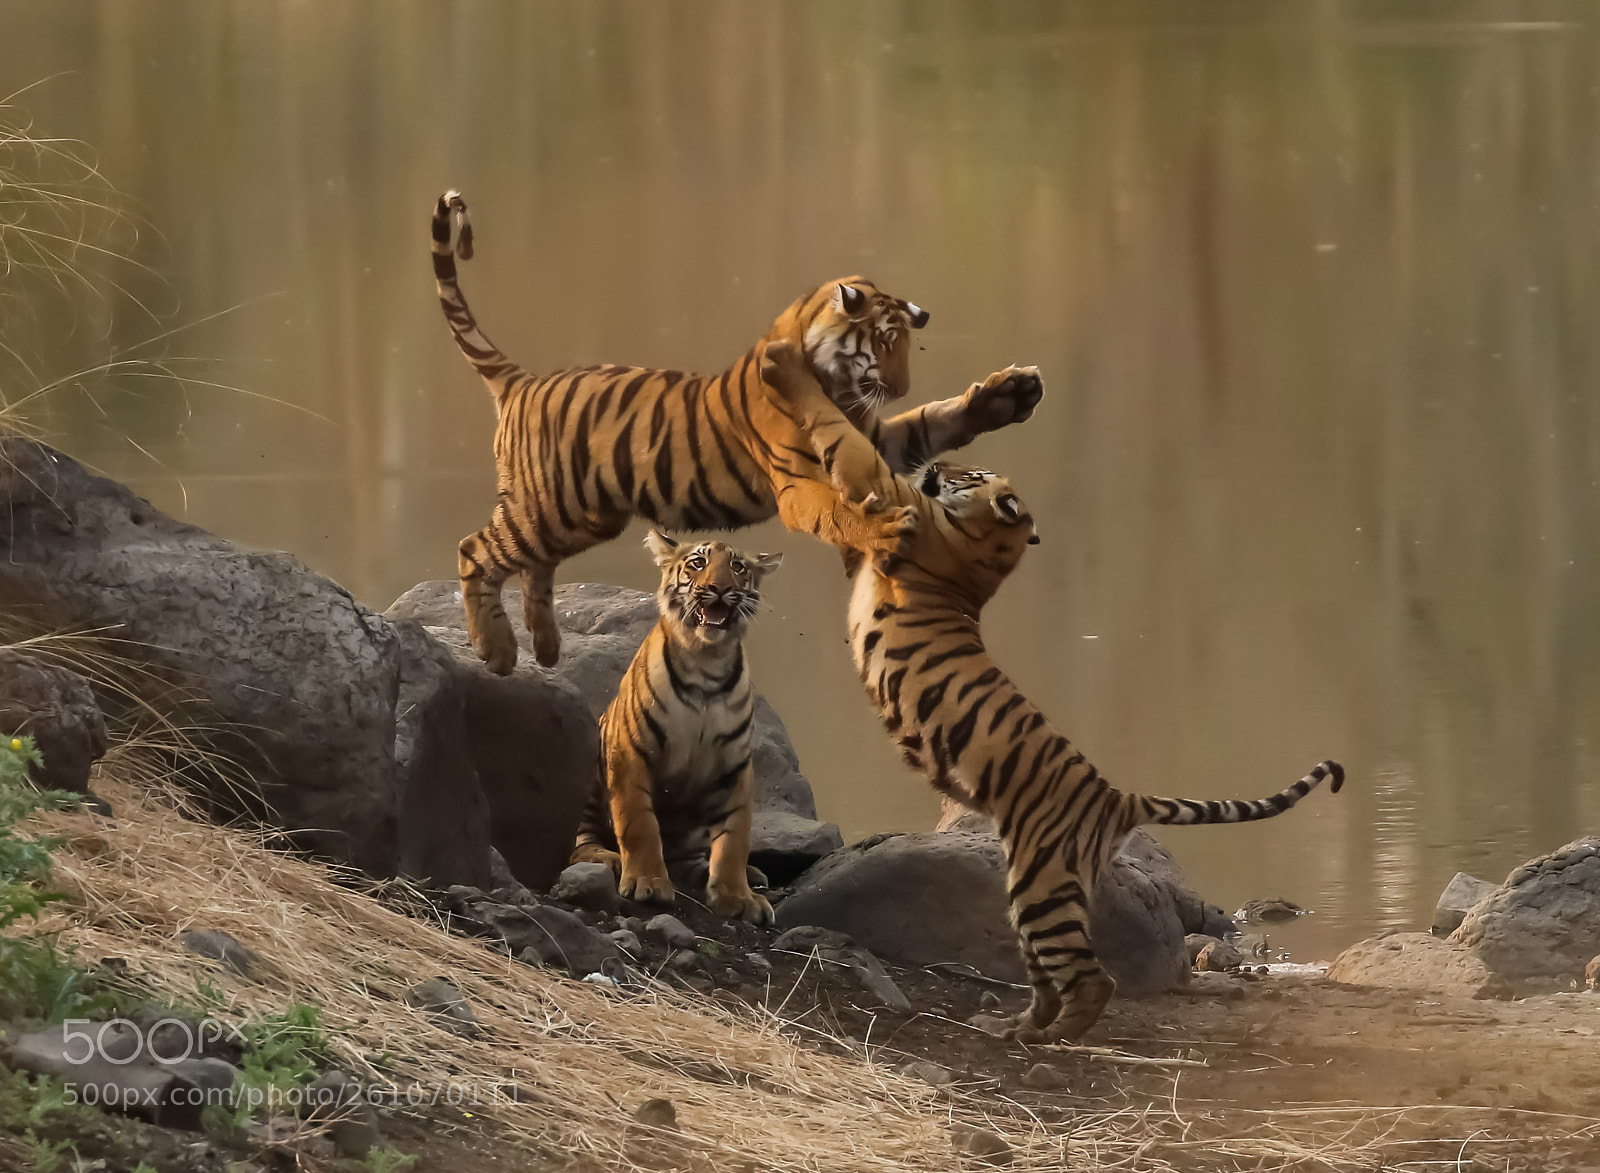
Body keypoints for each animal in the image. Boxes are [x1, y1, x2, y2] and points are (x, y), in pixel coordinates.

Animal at [431, 189, 1043, 670]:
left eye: (906, 346)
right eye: (885, 342)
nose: (900, 387)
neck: (836, 384)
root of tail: (523, 380)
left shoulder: (874, 437)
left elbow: (929, 424)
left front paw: (1007, 396)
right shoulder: (801, 483)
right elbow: (842, 511)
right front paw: (886, 529)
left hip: (580, 516)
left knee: (533, 566)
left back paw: (547, 646)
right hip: (545, 507)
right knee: (474, 549)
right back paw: (497, 651)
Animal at [570, 530, 780, 923]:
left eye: (737, 567)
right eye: (697, 563)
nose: (719, 588)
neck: (707, 663)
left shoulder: (734, 767)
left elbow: (734, 837)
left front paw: (738, 896)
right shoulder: (630, 753)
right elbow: (639, 822)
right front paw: (648, 883)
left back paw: (751, 876)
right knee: (578, 842)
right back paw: (609, 859)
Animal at [758, 341, 1345, 1043]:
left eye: (969, 474)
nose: (939, 466)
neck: (987, 548)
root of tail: (1116, 795)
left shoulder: (892, 502)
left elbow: (846, 440)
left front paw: (784, 368)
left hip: (1042, 887)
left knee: (1095, 980)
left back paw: (1049, 1035)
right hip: (1032, 889)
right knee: (1051, 977)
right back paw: (1011, 1026)